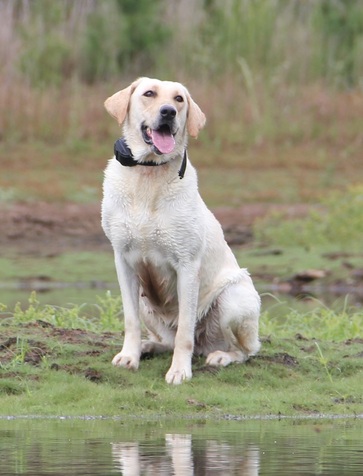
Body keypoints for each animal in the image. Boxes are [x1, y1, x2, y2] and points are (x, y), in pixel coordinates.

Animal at [102, 77, 262, 384]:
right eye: (149, 93)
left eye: (179, 99)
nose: (168, 112)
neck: (148, 173)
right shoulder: (122, 261)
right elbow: (130, 320)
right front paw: (129, 357)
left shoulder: (187, 266)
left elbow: (185, 333)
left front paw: (179, 371)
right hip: (146, 302)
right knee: (165, 339)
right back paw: (148, 346)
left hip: (233, 299)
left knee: (245, 351)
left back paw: (221, 356)